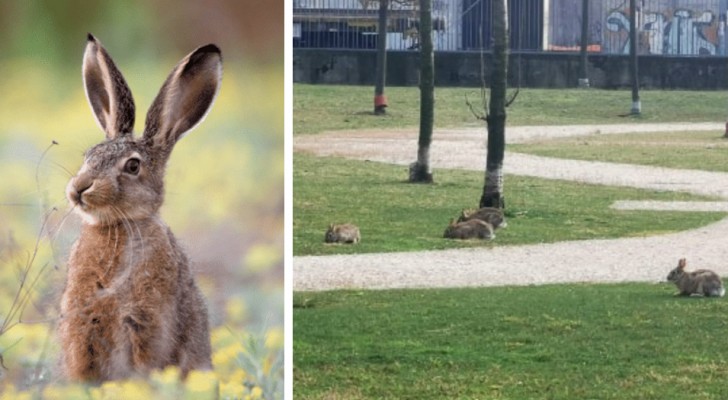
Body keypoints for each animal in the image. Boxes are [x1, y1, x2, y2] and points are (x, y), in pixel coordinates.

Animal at [57, 33, 222, 382]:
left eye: (133, 167)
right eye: (88, 156)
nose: (79, 189)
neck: (118, 226)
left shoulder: (147, 321)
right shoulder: (82, 326)